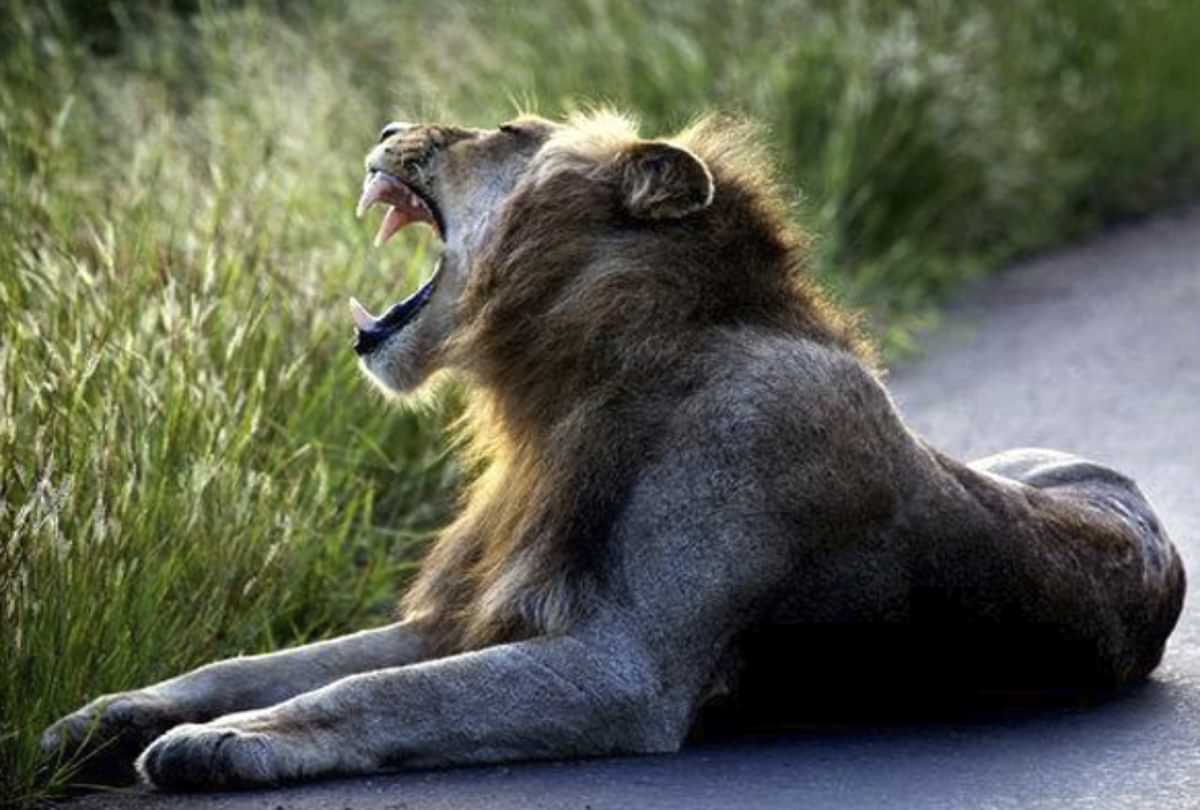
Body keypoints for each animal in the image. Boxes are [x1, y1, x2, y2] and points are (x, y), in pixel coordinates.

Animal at [42, 111, 1185, 790]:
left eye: (501, 132)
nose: (388, 127)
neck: (561, 390)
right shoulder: (469, 612)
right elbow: (260, 661)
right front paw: (101, 717)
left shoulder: (623, 668)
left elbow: (380, 693)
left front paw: (226, 742)